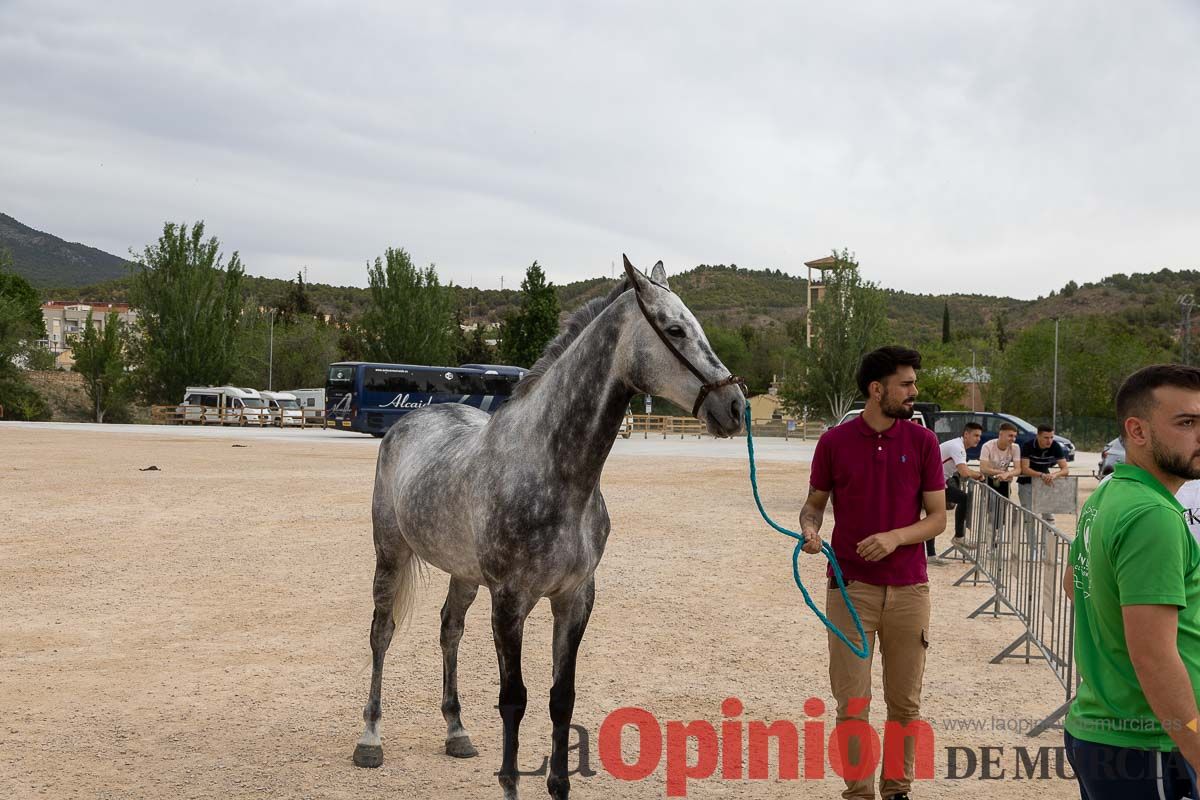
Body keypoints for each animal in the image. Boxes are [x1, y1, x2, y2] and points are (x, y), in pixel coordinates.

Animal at [348, 260, 744, 796]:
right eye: (675, 329)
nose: (736, 407)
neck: (554, 471)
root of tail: (408, 424)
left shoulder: (574, 599)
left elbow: (562, 698)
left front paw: (559, 786)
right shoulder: (509, 602)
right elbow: (514, 700)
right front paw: (512, 785)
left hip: (464, 574)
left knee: (449, 631)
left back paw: (457, 731)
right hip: (390, 554)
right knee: (381, 633)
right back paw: (370, 738)